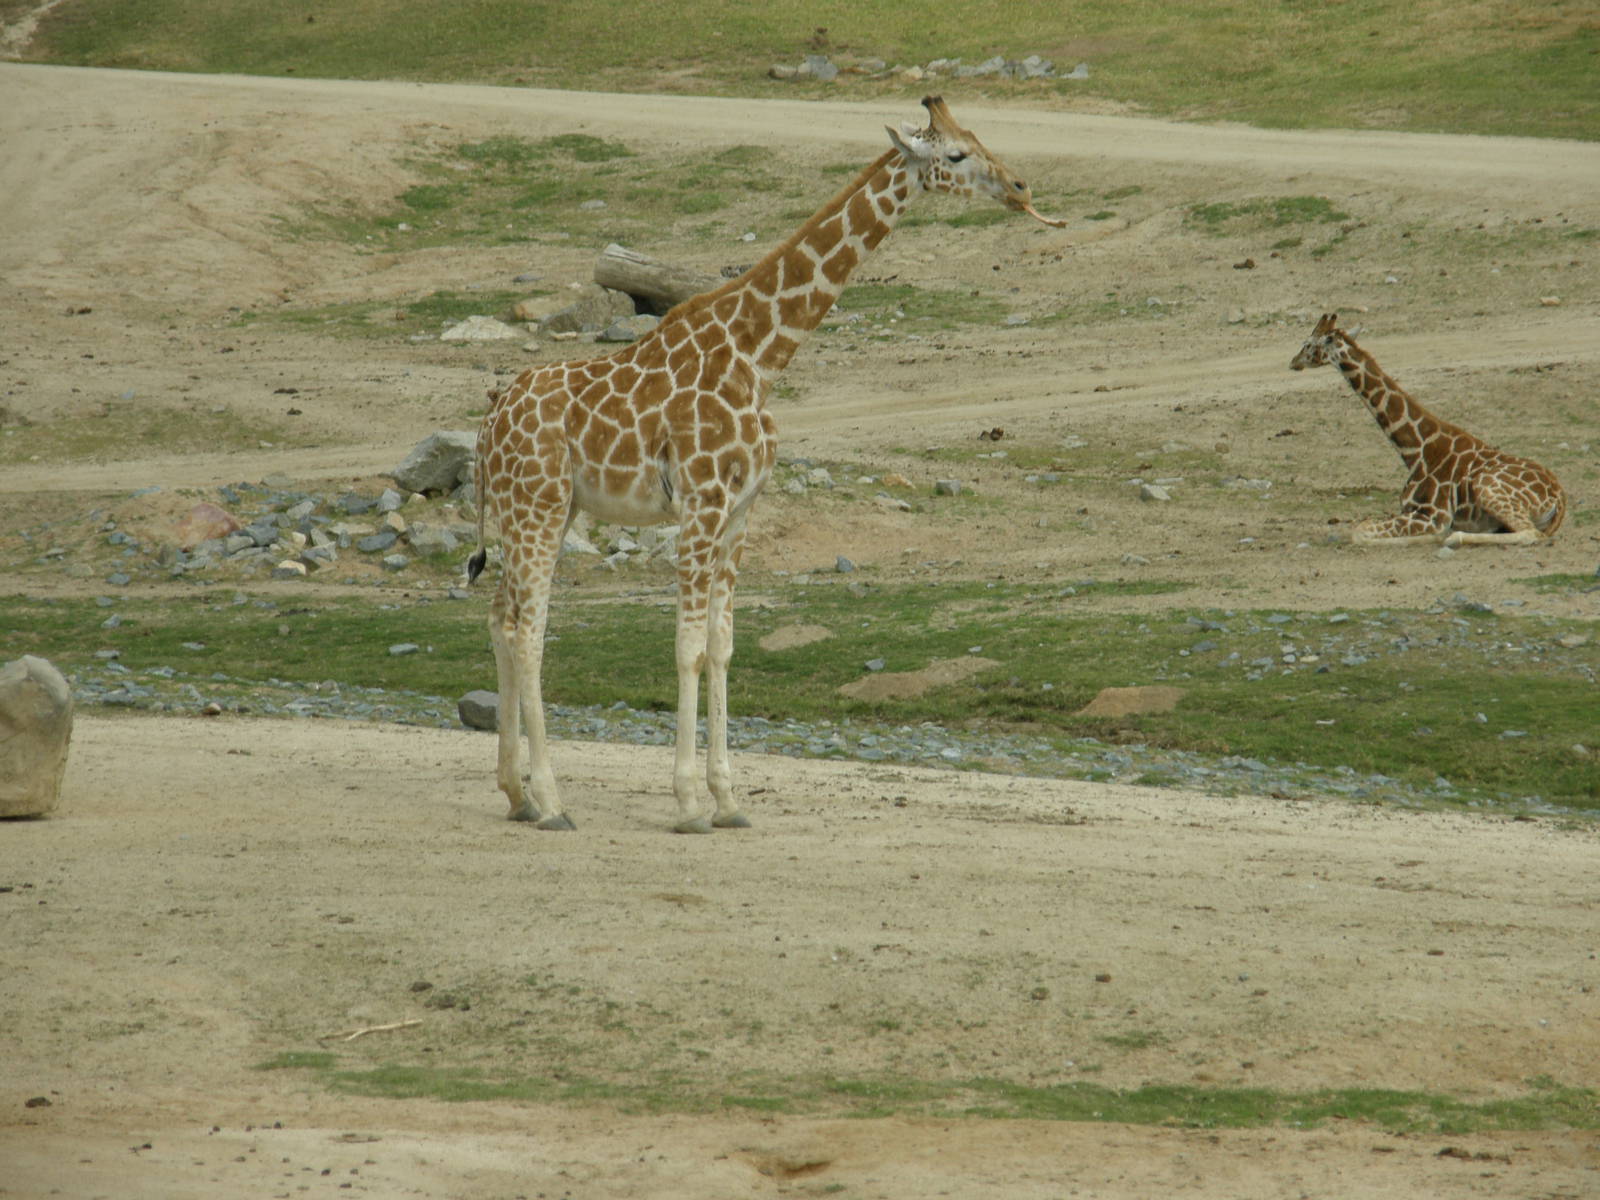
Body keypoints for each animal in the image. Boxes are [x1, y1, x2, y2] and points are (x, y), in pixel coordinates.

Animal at [467, 96, 1064, 833]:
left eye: (980, 139)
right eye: (954, 154)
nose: (1021, 189)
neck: (761, 357)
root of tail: (488, 421)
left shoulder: (742, 511)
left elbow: (723, 646)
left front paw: (728, 801)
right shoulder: (702, 503)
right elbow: (689, 647)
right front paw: (689, 804)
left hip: (539, 508)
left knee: (500, 619)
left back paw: (517, 793)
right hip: (540, 505)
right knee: (527, 630)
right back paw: (551, 802)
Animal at [1290, 313, 1566, 548]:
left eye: (1307, 344)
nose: (1293, 362)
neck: (1416, 450)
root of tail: (1559, 498)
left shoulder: (1432, 514)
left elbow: (1360, 530)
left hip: (1488, 487)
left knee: (1530, 533)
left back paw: (1454, 538)